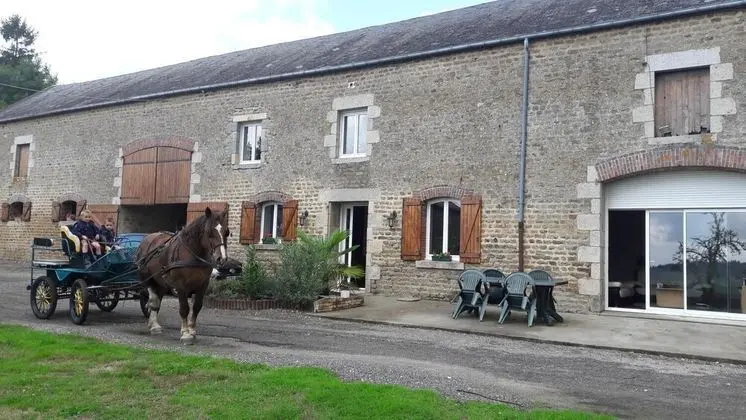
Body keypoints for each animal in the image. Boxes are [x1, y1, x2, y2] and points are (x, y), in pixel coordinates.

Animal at [135, 206, 229, 343]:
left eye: (227, 232)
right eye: (209, 232)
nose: (221, 258)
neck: (193, 252)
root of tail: (148, 238)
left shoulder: (203, 285)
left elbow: (197, 307)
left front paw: (192, 330)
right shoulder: (180, 286)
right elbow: (184, 308)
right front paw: (185, 333)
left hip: (161, 282)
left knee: (157, 301)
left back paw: (154, 325)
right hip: (148, 278)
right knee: (153, 300)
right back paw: (154, 324)